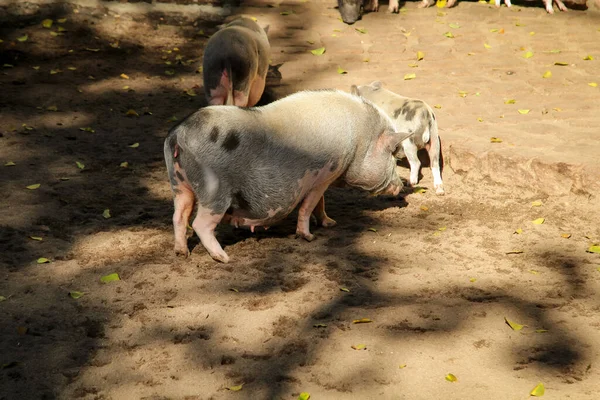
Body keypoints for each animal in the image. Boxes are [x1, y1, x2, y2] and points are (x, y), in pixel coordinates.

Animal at [164, 91, 412, 266]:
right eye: (394, 153)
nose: (400, 186)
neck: (360, 141)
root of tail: (179, 135)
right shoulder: (323, 176)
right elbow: (309, 205)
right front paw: (308, 237)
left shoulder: (323, 179)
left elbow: (320, 204)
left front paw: (330, 223)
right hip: (214, 190)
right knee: (200, 223)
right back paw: (223, 258)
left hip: (179, 183)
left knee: (179, 215)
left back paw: (181, 253)